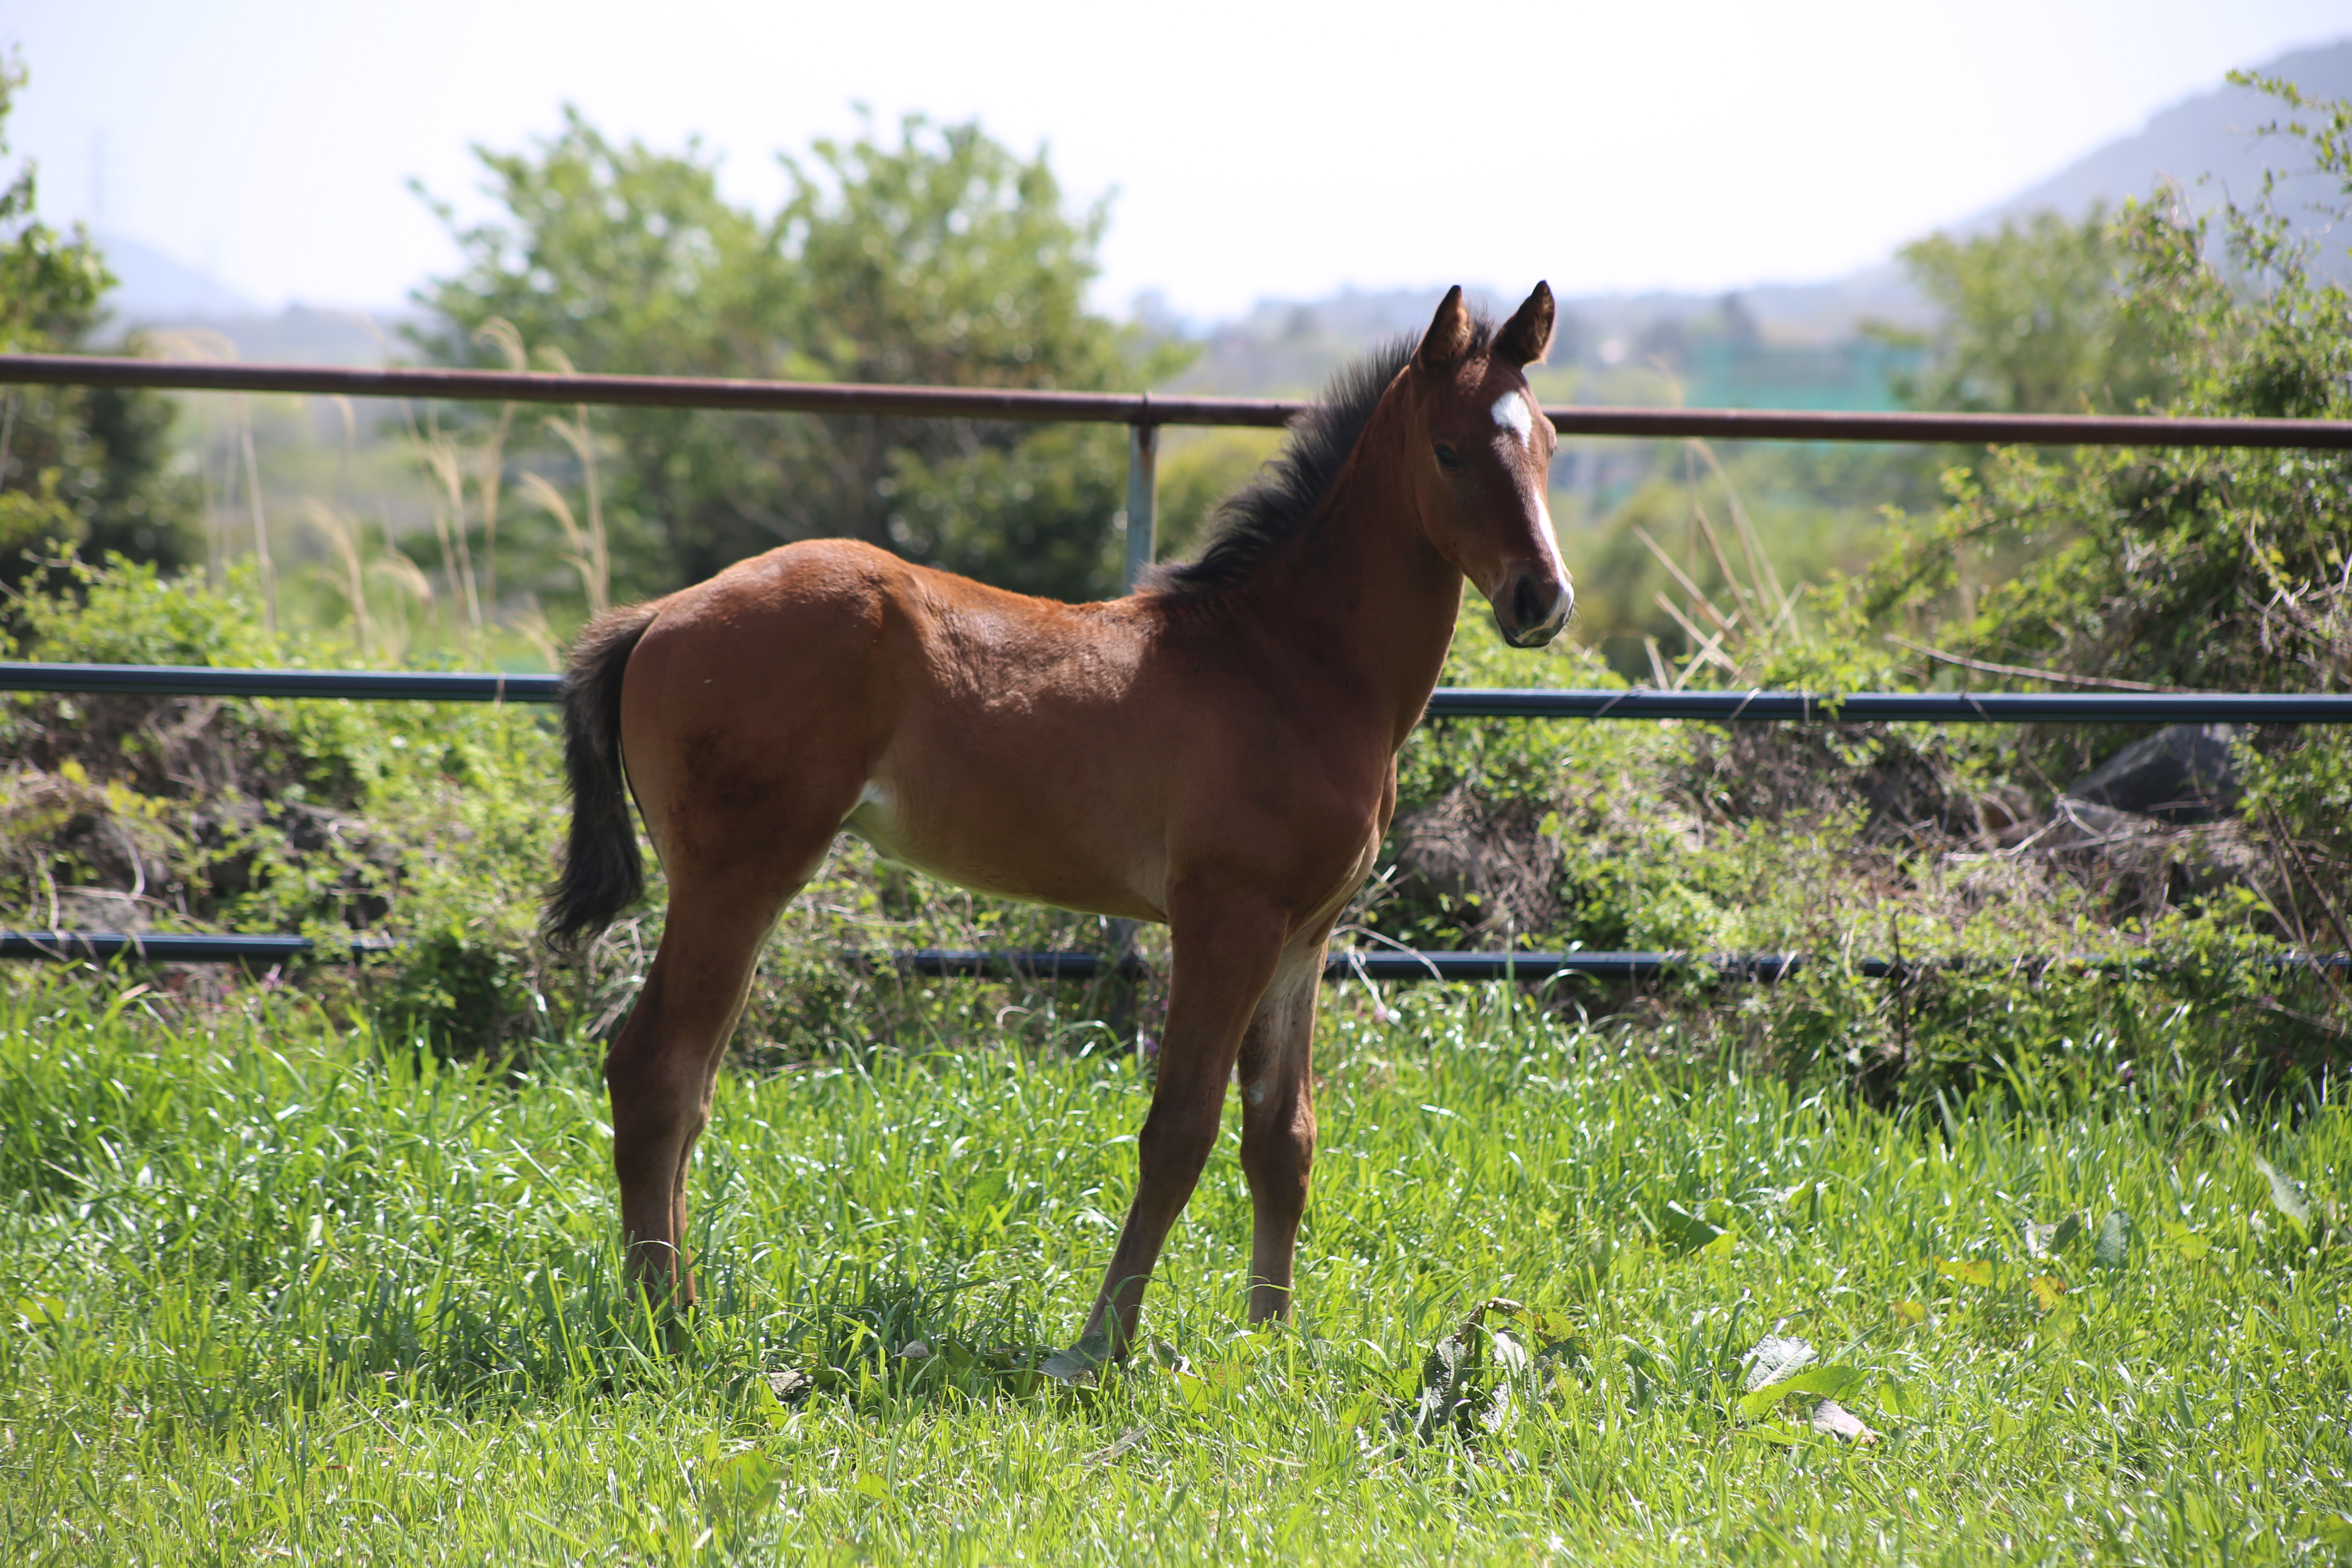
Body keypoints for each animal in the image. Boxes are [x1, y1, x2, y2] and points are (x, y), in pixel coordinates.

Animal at [550, 282, 1571, 1373]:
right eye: (1449, 450)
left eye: (1549, 441)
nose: (1540, 599)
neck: (1287, 665)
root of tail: (659, 616)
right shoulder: (1226, 920)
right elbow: (1180, 1130)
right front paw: (1099, 1344)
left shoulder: (1304, 935)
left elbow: (1281, 1138)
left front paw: (1269, 1342)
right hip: (734, 877)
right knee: (655, 1071)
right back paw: (666, 1325)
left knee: (688, 1082)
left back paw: (680, 1305)